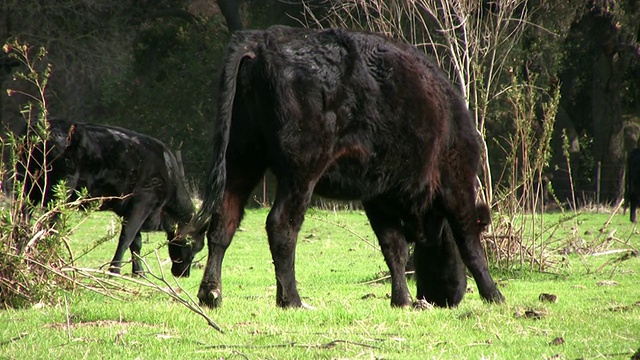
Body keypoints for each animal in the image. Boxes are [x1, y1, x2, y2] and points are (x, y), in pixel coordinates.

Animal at [18, 120, 202, 276]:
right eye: (192, 246)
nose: (184, 274)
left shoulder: (128, 209)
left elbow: (136, 242)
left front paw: (138, 272)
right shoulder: (143, 202)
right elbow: (127, 238)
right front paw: (114, 270)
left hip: (28, 186)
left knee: (24, 218)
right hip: (59, 191)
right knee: (49, 225)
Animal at [176, 25, 504, 308]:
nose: (444, 298)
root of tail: (264, 40)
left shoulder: (378, 197)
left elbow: (393, 248)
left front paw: (401, 300)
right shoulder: (456, 182)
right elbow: (469, 243)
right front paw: (494, 295)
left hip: (242, 159)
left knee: (224, 221)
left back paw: (211, 294)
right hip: (300, 172)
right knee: (281, 225)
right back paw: (292, 300)